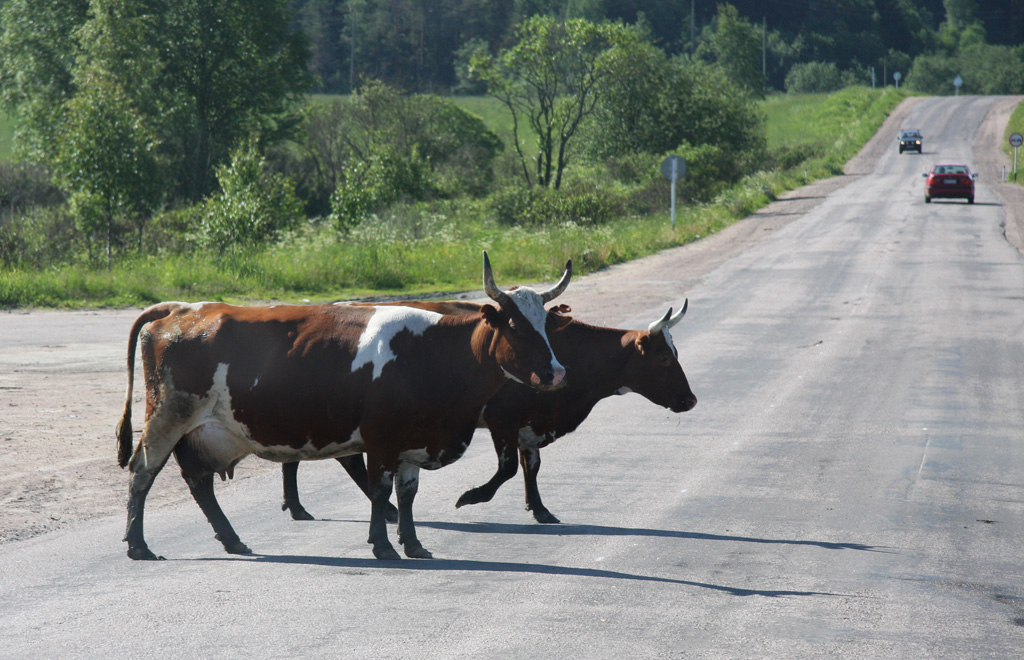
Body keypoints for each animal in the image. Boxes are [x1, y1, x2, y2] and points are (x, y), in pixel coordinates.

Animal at [117, 254, 577, 556]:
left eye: (545, 325)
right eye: (515, 326)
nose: (556, 373)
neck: (433, 352)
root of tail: (182, 311)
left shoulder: (414, 441)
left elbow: (407, 494)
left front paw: (413, 544)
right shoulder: (381, 439)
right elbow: (380, 489)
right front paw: (384, 546)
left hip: (197, 428)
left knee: (198, 481)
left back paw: (232, 540)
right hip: (168, 417)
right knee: (143, 472)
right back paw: (138, 545)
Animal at [280, 300, 696, 523]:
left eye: (675, 353)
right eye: (663, 358)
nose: (690, 400)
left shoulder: (529, 423)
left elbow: (532, 465)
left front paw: (539, 509)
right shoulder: (503, 419)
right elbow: (509, 468)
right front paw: (472, 497)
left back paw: (301, 506)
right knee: (342, 459)